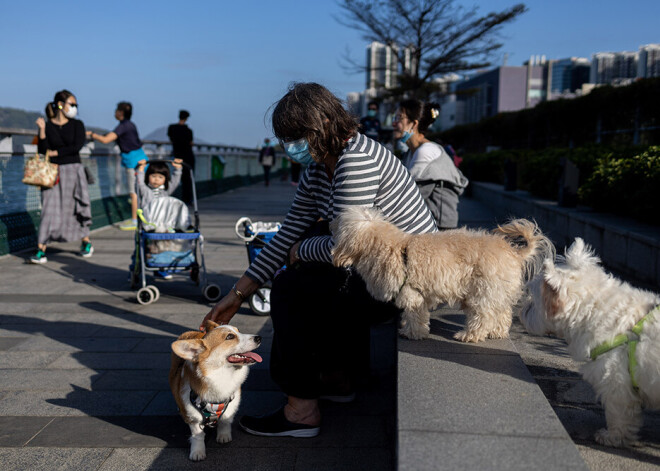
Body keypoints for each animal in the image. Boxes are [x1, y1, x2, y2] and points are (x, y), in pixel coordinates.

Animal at [169, 320, 262, 460]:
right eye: (230, 337)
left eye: (238, 330)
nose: (259, 338)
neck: (221, 376)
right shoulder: (193, 417)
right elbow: (197, 435)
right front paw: (197, 452)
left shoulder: (232, 404)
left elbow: (226, 420)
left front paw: (224, 436)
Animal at [332, 206, 556, 342]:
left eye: (341, 225)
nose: (330, 222)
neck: (394, 249)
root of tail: (514, 252)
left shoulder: (412, 294)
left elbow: (414, 316)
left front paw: (412, 333)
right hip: (497, 292)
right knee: (502, 314)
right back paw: (497, 332)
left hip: (483, 292)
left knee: (483, 316)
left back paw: (469, 335)